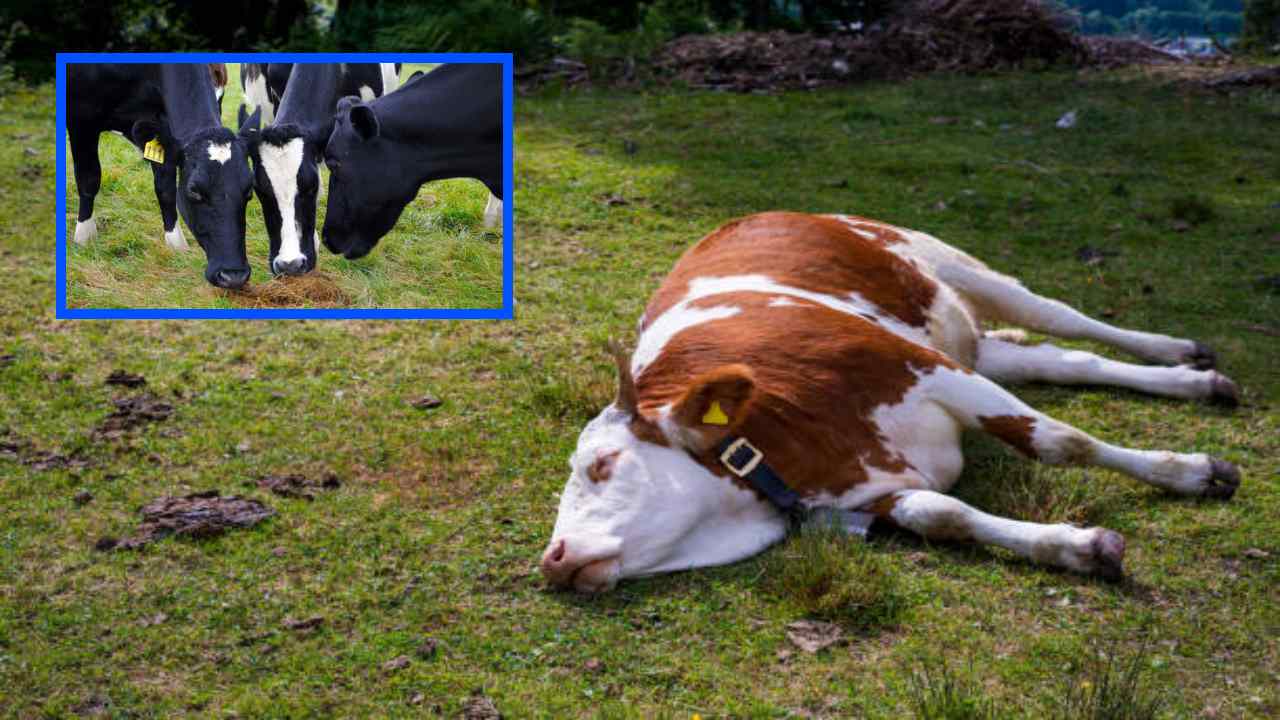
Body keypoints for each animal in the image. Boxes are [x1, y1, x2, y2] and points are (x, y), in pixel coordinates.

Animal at [67, 63, 258, 289]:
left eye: (249, 190)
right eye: (194, 190)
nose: (233, 276)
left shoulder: (161, 122)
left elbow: (165, 188)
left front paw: (176, 245)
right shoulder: (81, 116)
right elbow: (89, 179)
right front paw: (84, 236)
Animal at [540, 212, 1242, 593]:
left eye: (601, 465)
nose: (553, 559)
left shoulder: (929, 369)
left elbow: (1059, 441)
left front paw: (1193, 474)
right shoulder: (865, 495)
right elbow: (942, 514)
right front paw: (1077, 549)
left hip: (959, 269)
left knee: (1066, 319)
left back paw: (1180, 350)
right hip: (976, 345)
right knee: (1065, 361)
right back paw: (1195, 381)